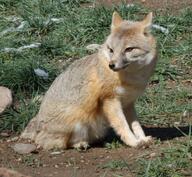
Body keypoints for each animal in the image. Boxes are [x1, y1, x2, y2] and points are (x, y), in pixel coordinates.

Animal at [21, 11, 158, 149]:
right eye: (111, 50)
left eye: (129, 49)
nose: (111, 65)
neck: (132, 79)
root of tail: (37, 122)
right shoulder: (110, 101)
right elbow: (123, 125)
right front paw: (134, 142)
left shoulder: (128, 103)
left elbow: (136, 125)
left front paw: (142, 138)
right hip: (79, 120)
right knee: (54, 142)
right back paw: (80, 144)